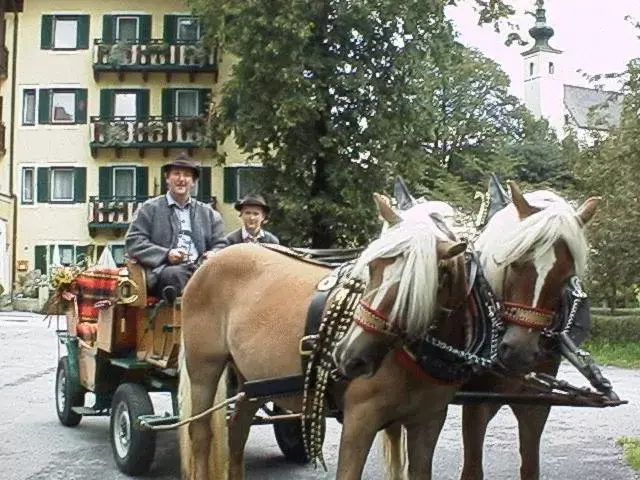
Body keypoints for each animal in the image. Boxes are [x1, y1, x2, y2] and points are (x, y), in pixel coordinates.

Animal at [178, 192, 468, 480]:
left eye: (419, 286)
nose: (348, 355)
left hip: (253, 379)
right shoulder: (359, 420)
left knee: (238, 431)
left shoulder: (428, 423)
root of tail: (210, 261)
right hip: (204, 368)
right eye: (372, 267)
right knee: (200, 433)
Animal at [458, 179, 604, 480]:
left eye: (566, 276)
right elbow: (472, 469)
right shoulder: (476, 404)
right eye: (514, 261)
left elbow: (530, 466)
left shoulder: (535, 406)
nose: (519, 351)